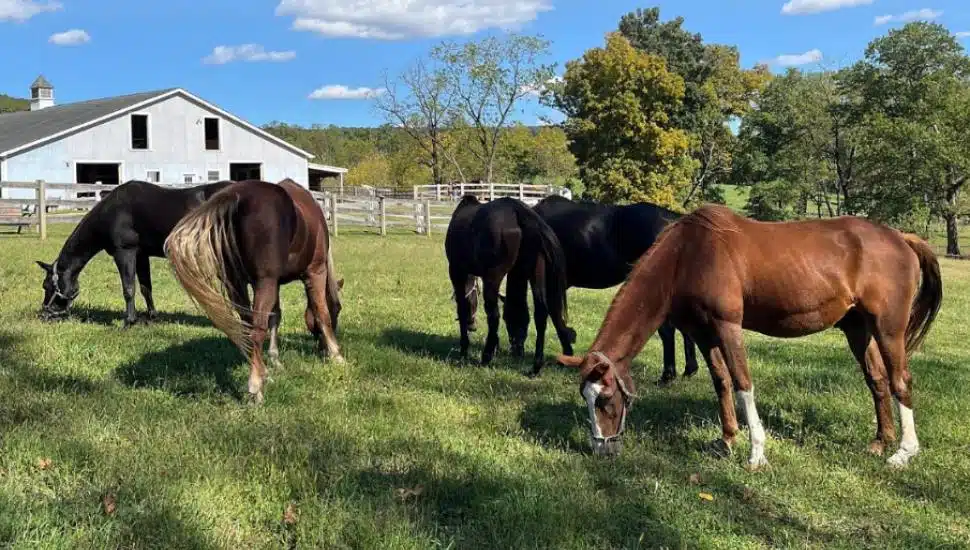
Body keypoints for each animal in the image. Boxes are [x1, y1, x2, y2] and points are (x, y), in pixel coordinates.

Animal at [35, 179, 234, 325]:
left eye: (47, 285)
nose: (44, 313)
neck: (111, 212)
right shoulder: (141, 255)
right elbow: (146, 288)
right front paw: (152, 318)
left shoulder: (125, 253)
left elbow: (129, 288)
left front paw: (129, 321)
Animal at [163, 178, 344, 403]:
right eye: (339, 311)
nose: (321, 349)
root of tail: (237, 195)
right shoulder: (314, 272)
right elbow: (321, 313)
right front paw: (336, 355)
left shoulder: (275, 283)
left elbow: (275, 316)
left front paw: (274, 360)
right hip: (263, 282)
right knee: (256, 330)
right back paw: (255, 387)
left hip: (236, 283)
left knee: (248, 328)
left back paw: (261, 373)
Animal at [444, 195, 575, 371]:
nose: (472, 326)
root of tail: (519, 213)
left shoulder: (456, 271)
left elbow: (462, 306)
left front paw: (464, 350)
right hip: (536, 272)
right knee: (541, 313)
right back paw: (536, 365)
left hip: (493, 277)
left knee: (493, 315)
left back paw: (486, 357)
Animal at [506, 194, 699, 382]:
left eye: (507, 320)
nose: (514, 350)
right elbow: (556, 313)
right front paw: (567, 349)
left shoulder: (542, 275)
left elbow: (543, 315)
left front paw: (537, 366)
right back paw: (688, 369)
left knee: (667, 330)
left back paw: (668, 375)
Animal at [558, 204, 942, 470]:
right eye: (585, 399)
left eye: (606, 400)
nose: (601, 448)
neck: (689, 255)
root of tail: (901, 237)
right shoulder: (703, 333)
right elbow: (721, 382)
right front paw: (727, 440)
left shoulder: (727, 326)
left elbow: (743, 383)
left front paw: (756, 453)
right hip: (858, 328)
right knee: (877, 380)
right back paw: (880, 442)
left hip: (888, 328)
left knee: (900, 381)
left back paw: (903, 453)